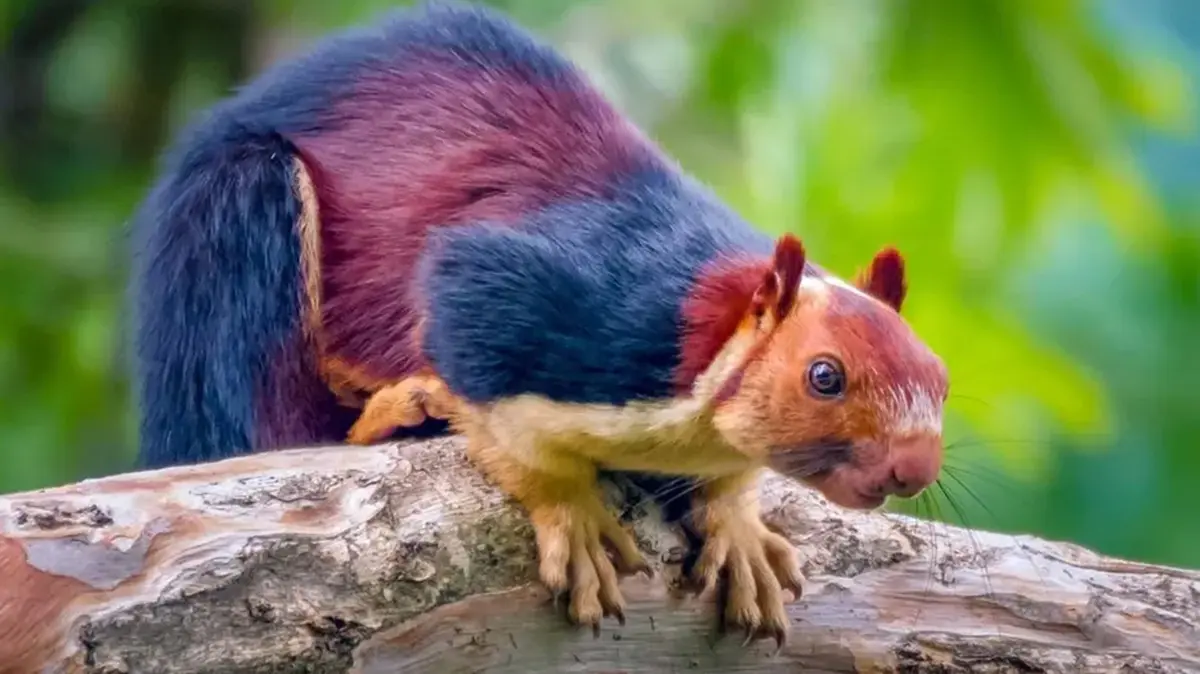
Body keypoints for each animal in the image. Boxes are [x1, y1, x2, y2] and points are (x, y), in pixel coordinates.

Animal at [128, 1, 949, 647]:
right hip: (239, 225)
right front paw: (571, 513)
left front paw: (739, 524)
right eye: (824, 376)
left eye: (941, 379)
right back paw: (399, 413)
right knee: (265, 427)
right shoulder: (548, 300)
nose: (914, 468)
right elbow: (495, 391)